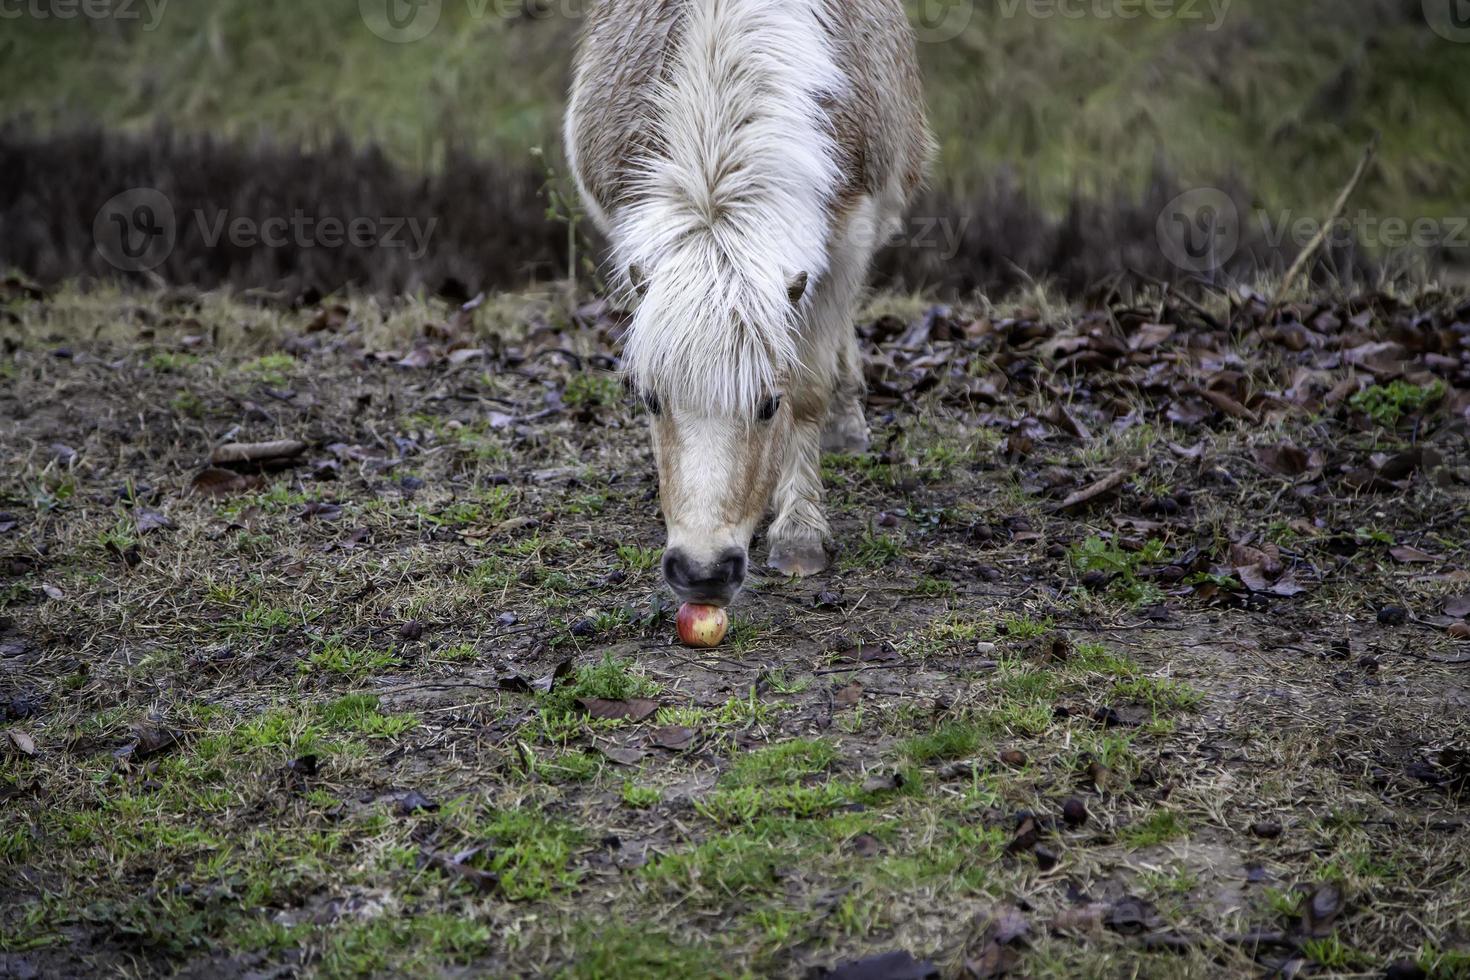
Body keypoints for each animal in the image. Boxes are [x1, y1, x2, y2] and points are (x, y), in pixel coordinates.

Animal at [561, 0, 929, 605]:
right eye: (651, 401)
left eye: (768, 405)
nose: (702, 573)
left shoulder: (849, 237)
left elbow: (810, 388)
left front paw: (800, 533)